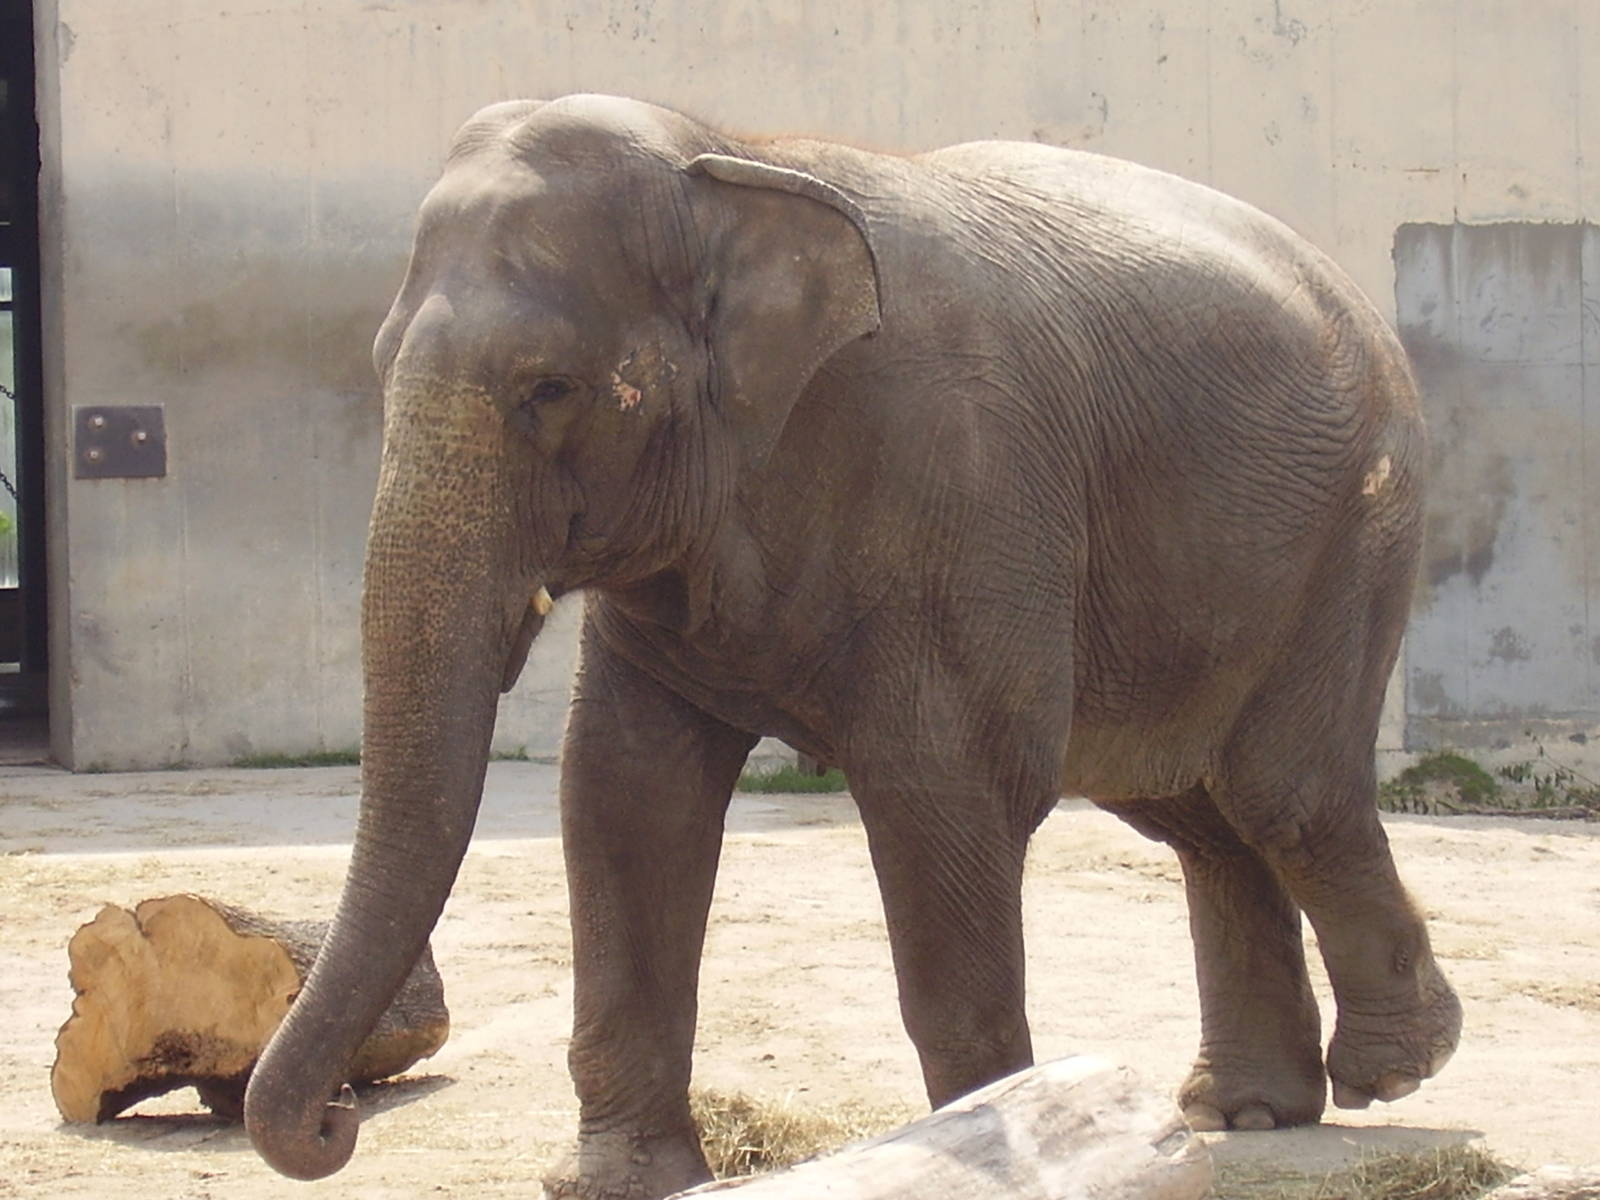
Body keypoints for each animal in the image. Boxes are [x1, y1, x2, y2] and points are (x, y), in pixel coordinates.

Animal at [243, 94, 1460, 1196]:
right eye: (380, 363)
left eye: (550, 388)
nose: (336, 1122)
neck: (729, 154)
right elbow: (626, 794)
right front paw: (624, 1182)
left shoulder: (965, 487)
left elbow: (947, 791)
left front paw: (995, 1145)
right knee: (1191, 809)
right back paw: (1244, 1111)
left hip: (1354, 527)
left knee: (1281, 790)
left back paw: (1396, 1069)